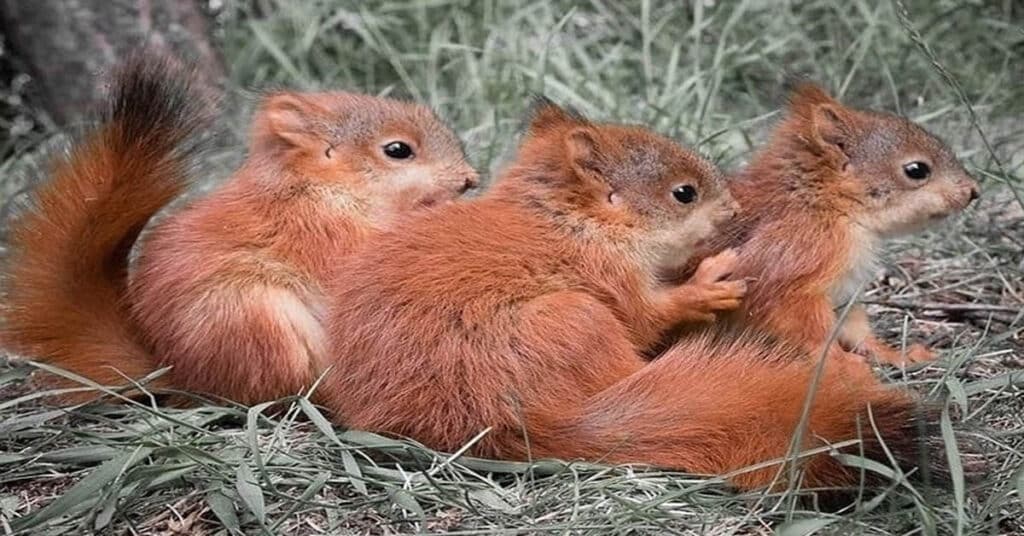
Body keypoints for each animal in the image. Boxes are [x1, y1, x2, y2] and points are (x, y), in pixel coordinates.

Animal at [1, 53, 479, 404]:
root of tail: (186, 377)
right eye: (397, 150)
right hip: (258, 321)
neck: (319, 187)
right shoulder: (317, 230)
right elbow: (365, 254)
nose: (469, 180)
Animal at [317, 100, 941, 493]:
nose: (735, 212)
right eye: (683, 193)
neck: (573, 223)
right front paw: (706, 284)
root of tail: (493, 423)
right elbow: (644, 316)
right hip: (578, 319)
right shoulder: (606, 274)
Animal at [674, 83, 980, 366]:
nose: (974, 191)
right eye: (917, 170)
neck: (827, 207)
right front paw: (843, 362)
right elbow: (811, 331)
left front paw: (897, 355)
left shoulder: (843, 291)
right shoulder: (797, 261)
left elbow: (856, 329)